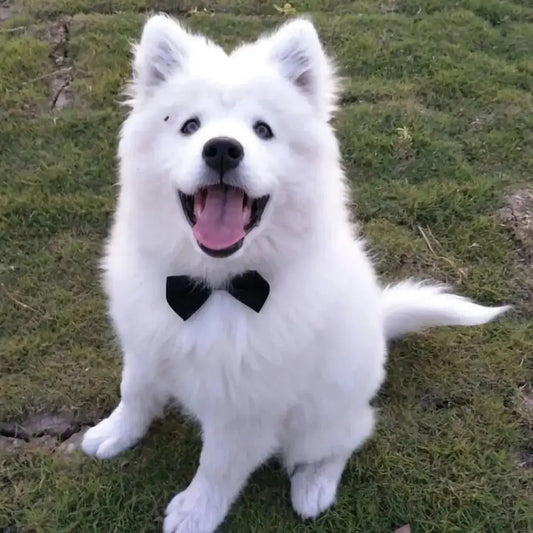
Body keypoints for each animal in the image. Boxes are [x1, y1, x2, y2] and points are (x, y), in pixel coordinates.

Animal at [81, 15, 510, 532]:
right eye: (189, 125)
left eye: (263, 130)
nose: (222, 150)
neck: (216, 285)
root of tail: (379, 323)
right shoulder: (146, 344)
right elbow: (135, 392)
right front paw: (115, 433)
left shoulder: (246, 409)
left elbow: (218, 465)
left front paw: (195, 512)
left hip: (322, 417)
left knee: (347, 440)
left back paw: (314, 486)